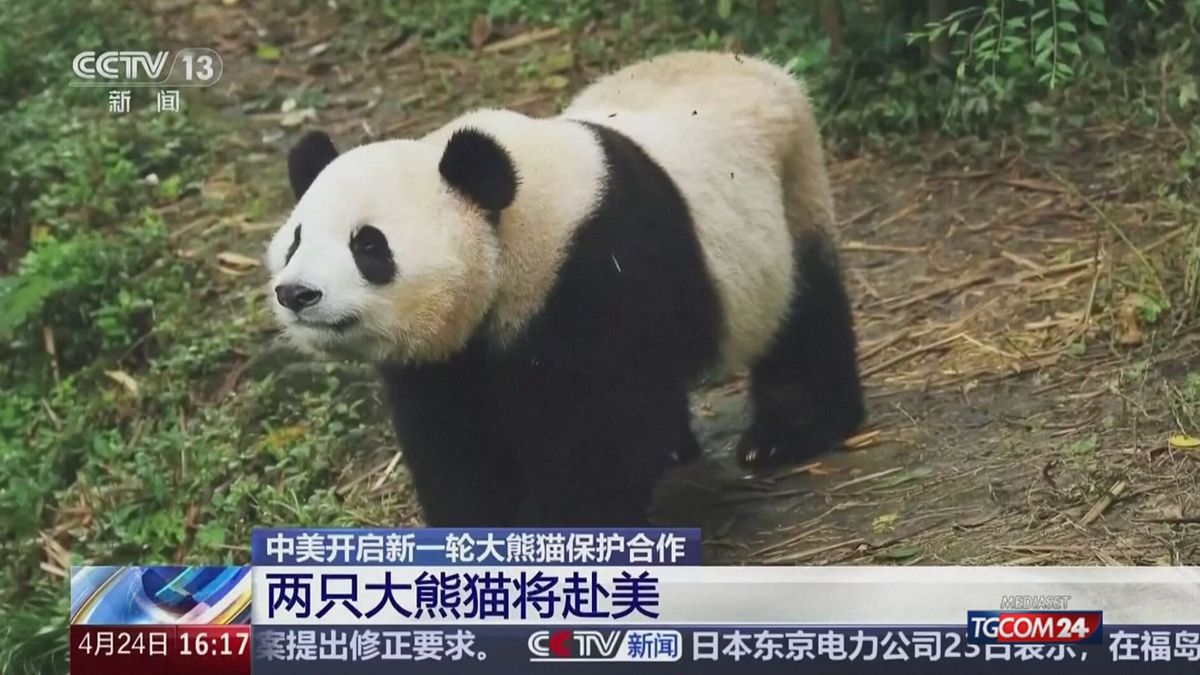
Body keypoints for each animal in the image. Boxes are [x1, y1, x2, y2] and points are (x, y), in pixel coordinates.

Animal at [267, 51, 866, 526]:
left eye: (368, 246)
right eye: (296, 239)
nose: (296, 294)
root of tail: (760, 67)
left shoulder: (596, 268)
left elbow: (598, 435)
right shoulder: (448, 358)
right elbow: (457, 443)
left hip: (790, 193)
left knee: (803, 322)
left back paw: (787, 435)